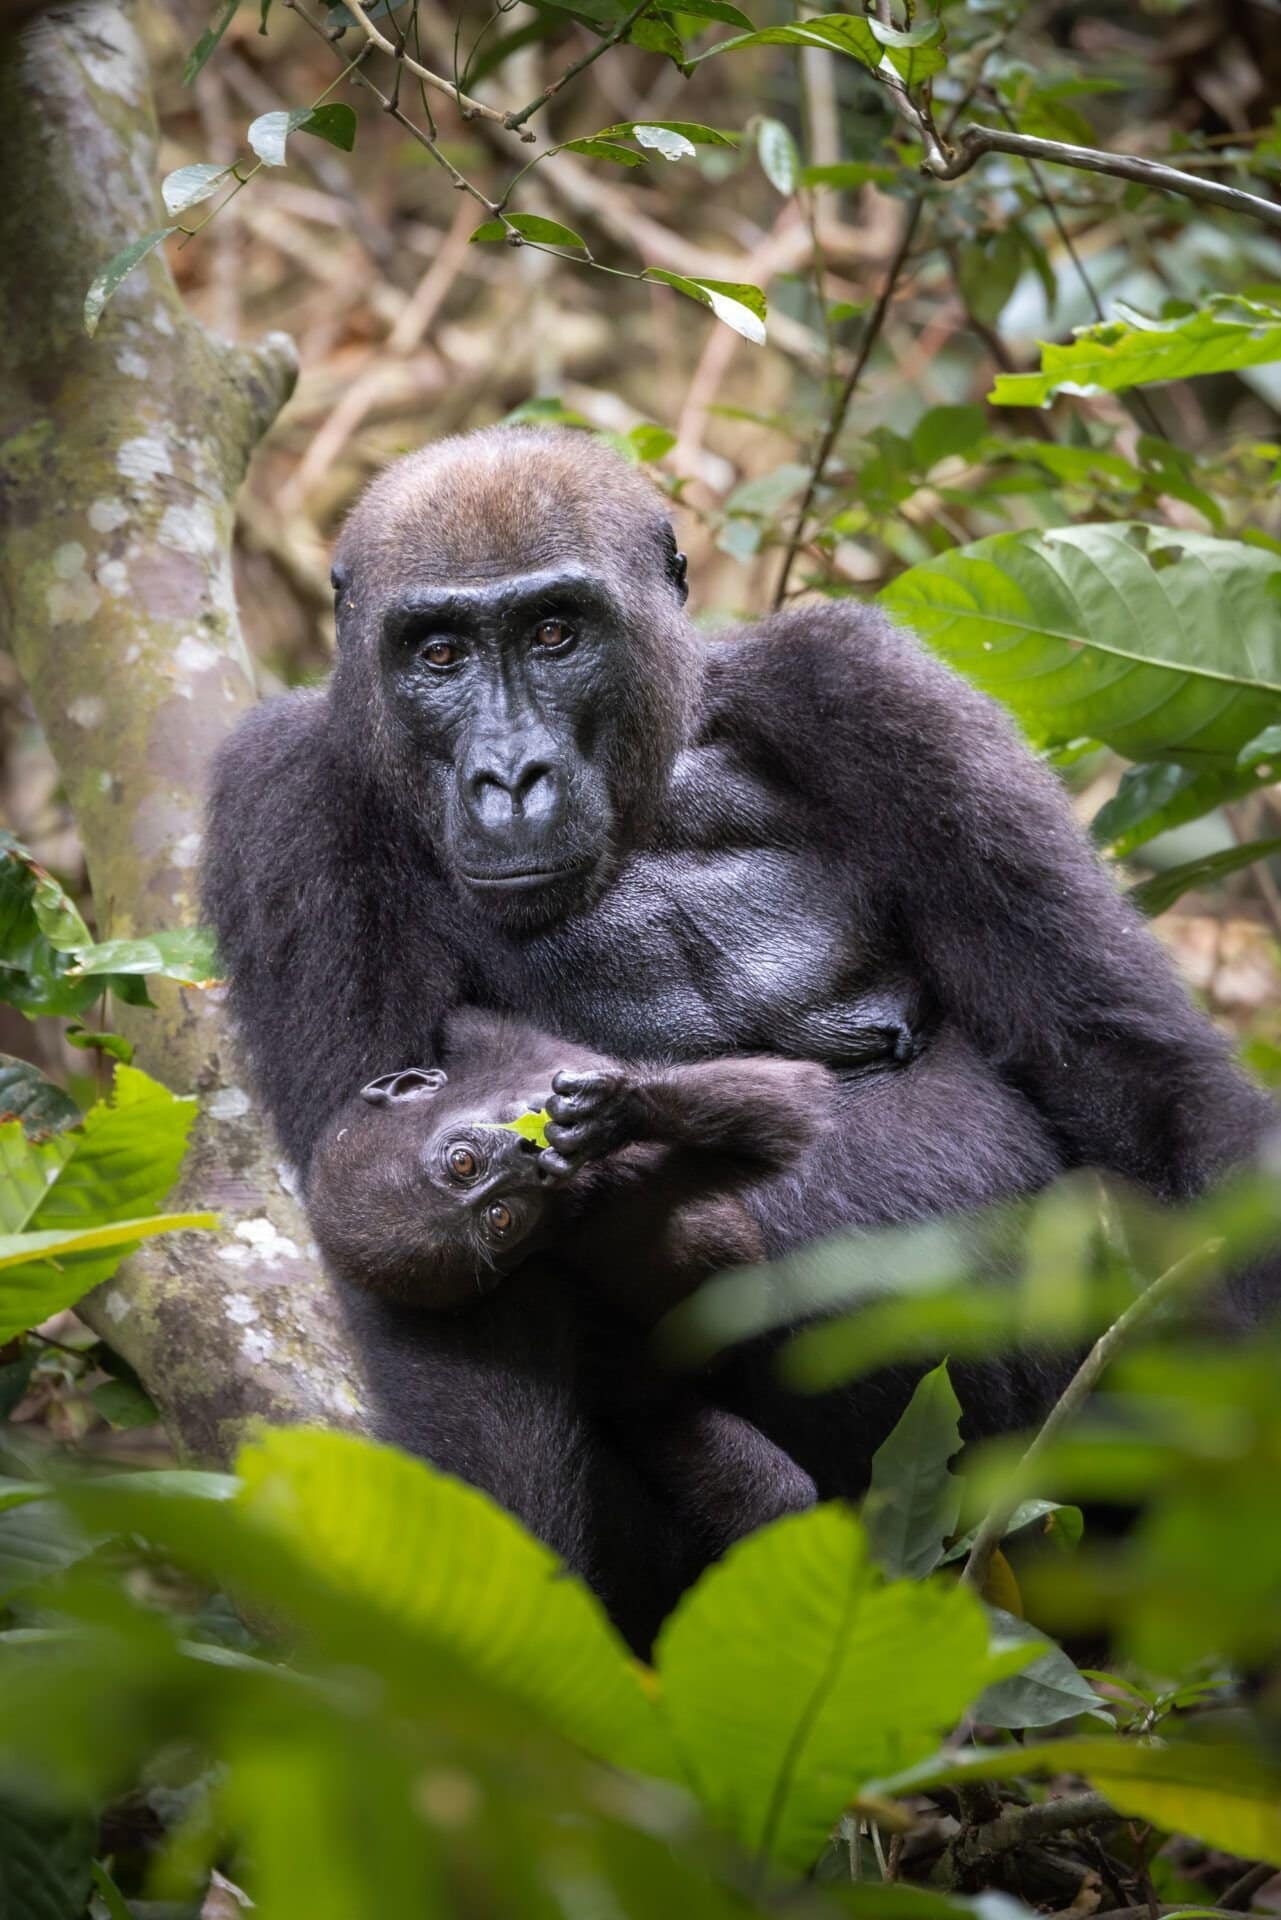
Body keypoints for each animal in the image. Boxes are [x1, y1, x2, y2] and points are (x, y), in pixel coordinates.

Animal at [204, 424, 1277, 1643]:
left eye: (555, 632)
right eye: (437, 654)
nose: (511, 779)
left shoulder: (865, 688)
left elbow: (1130, 1072)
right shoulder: (287, 805)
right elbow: (450, 1330)